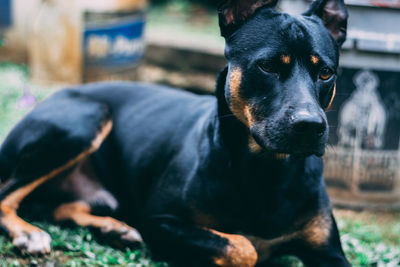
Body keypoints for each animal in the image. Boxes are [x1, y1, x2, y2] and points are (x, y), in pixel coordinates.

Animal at [0, 1, 350, 266]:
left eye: (326, 72)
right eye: (267, 66)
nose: (310, 126)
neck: (268, 171)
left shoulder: (328, 251)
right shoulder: (161, 222)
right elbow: (242, 247)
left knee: (63, 207)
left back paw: (114, 230)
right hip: (83, 121)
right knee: (7, 196)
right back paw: (29, 233)